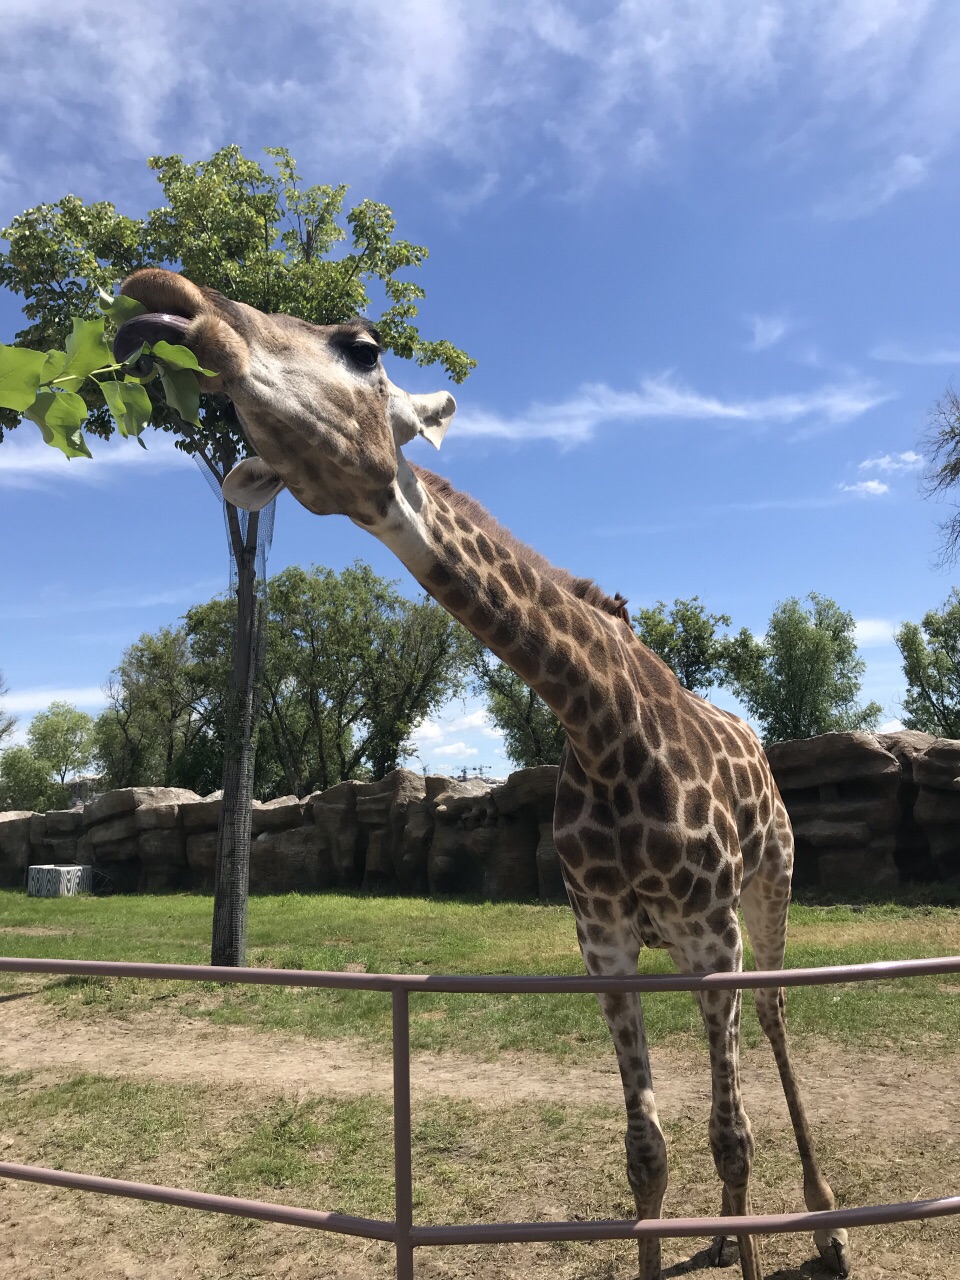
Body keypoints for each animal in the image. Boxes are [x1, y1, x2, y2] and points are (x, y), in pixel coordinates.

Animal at [116, 270, 855, 1280]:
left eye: (363, 345)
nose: (162, 298)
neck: (604, 728)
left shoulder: (712, 935)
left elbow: (729, 1142)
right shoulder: (605, 944)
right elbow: (649, 1151)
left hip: (767, 888)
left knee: (777, 1015)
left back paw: (827, 1220)